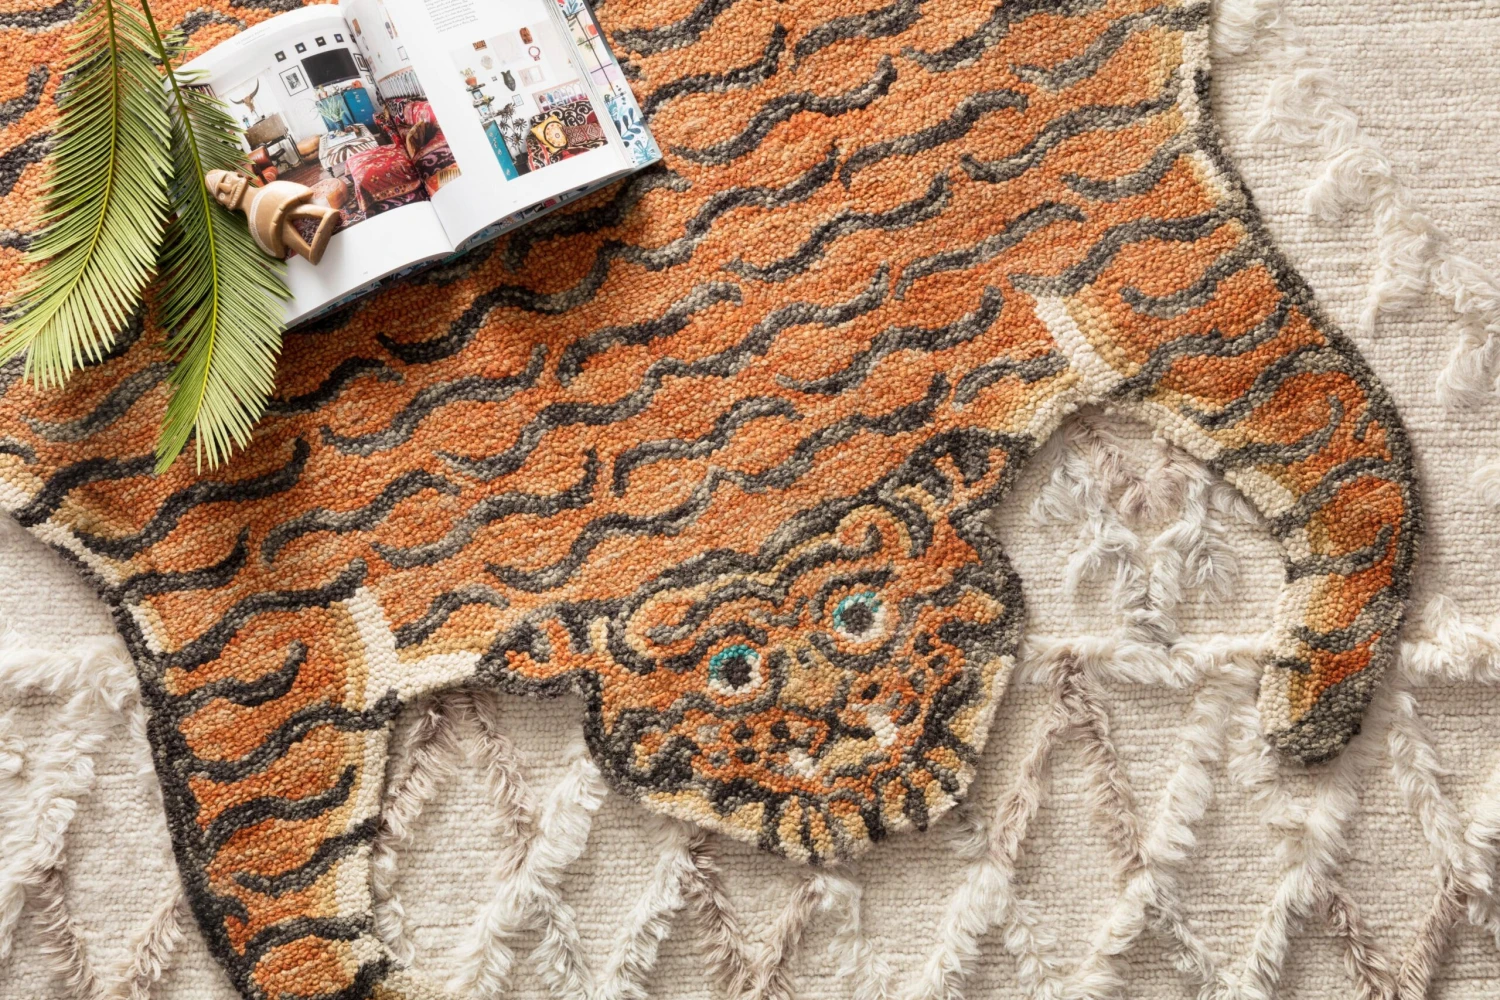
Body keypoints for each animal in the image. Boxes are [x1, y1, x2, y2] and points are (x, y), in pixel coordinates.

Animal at [0, 1, 1419, 998]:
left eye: (859, 616)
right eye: (734, 675)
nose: (844, 727)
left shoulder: (1124, 230)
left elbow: (1340, 439)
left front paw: (1316, 679)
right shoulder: (258, 623)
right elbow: (269, 866)